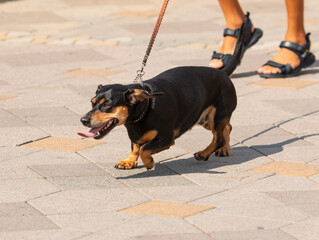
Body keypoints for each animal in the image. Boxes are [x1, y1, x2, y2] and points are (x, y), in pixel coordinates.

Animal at [78, 22, 248, 171]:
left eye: (107, 105)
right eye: (92, 103)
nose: (83, 120)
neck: (143, 112)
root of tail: (223, 73)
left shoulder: (166, 137)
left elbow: (144, 149)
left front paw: (148, 163)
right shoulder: (136, 136)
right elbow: (136, 147)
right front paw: (129, 161)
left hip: (217, 115)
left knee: (218, 137)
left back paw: (204, 153)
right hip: (204, 118)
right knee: (227, 127)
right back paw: (224, 149)